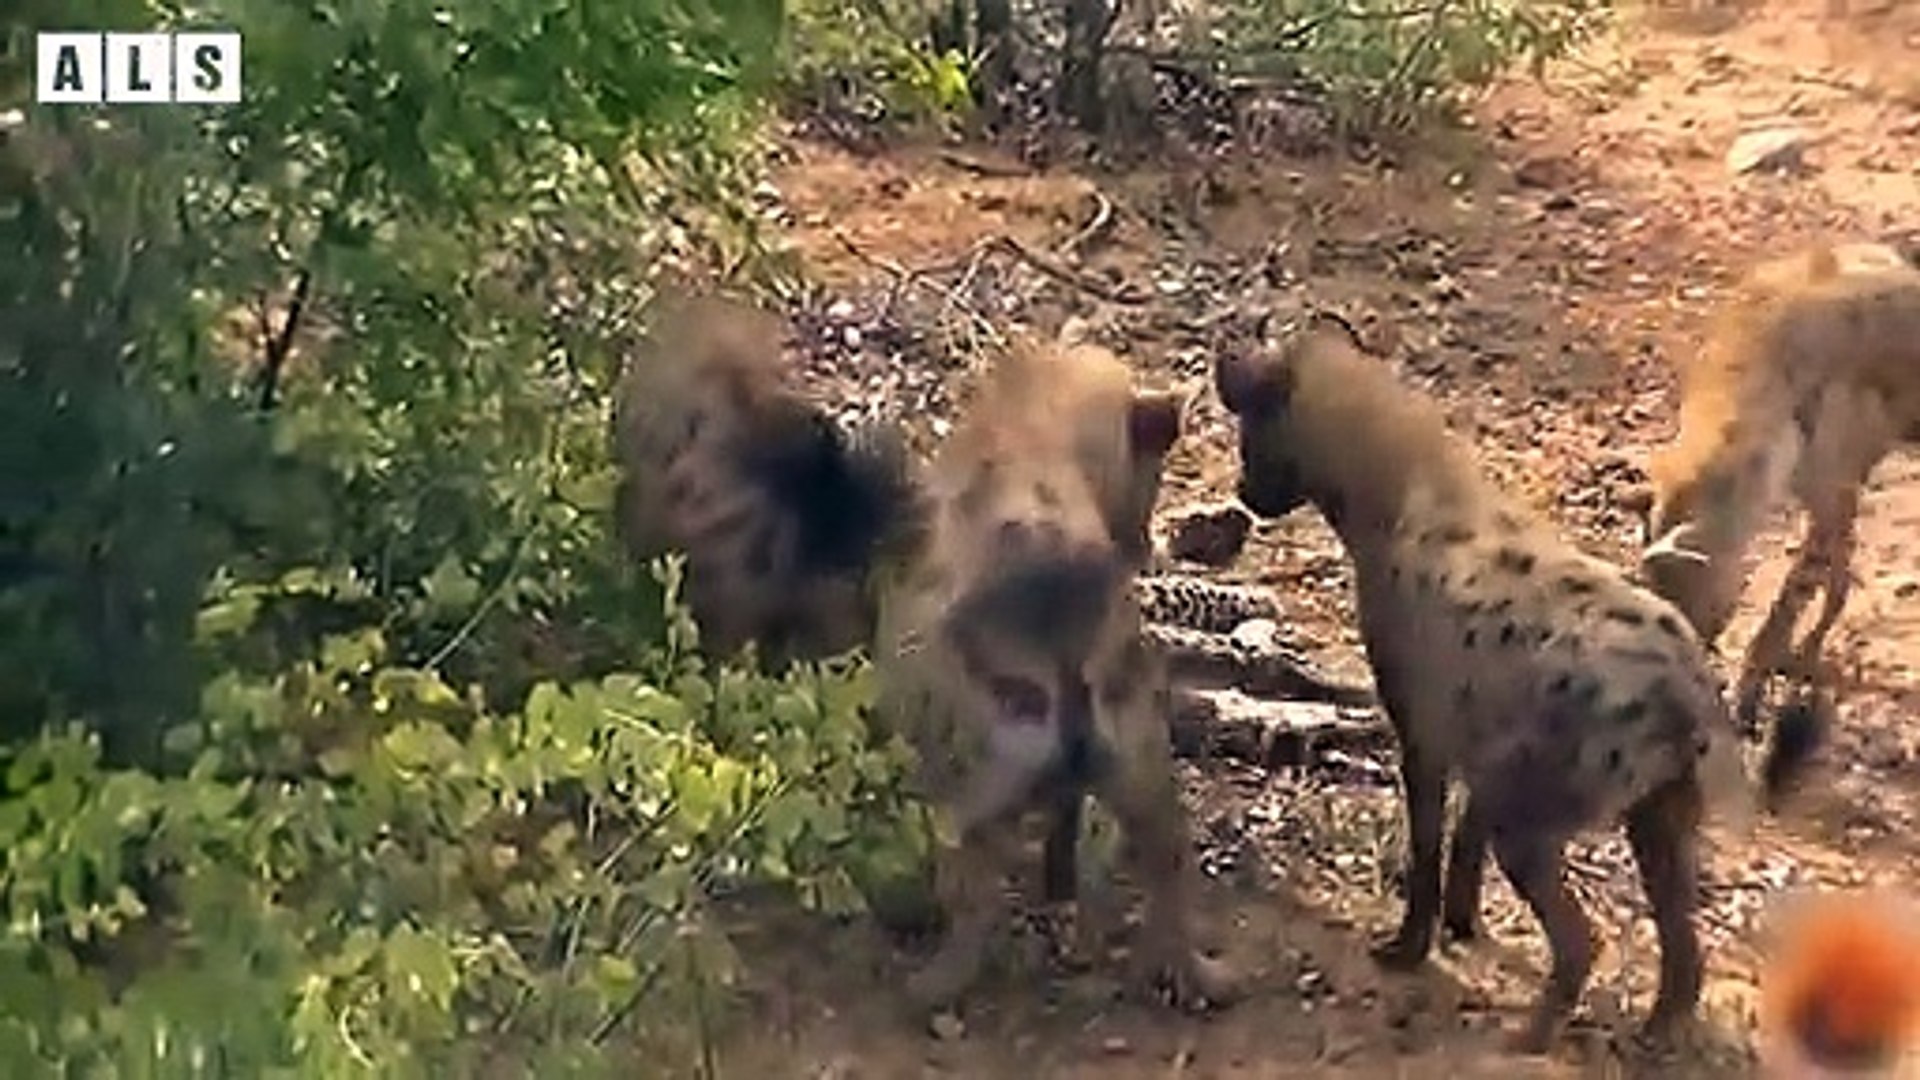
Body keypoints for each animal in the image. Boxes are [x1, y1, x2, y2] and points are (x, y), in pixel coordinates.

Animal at [1213, 310, 1813, 1055]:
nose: (1243, 495)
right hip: (1659, 818)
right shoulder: (1481, 740)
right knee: (1683, 949)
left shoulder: (1423, 734)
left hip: (1538, 821)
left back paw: (1528, 1038)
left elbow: (1426, 848)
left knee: (1584, 940)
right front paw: (1462, 927)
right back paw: (1649, 1041)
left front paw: (1406, 949)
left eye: (1248, 433)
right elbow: (1463, 844)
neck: (1398, 497)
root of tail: (1691, 686)